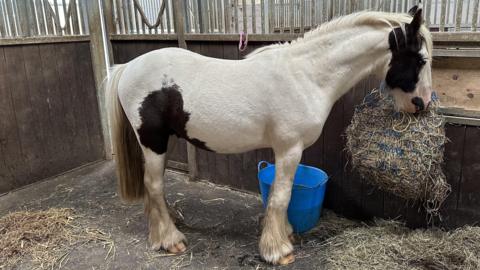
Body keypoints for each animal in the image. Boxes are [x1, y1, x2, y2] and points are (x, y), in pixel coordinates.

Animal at [107, 5, 434, 264]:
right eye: (420, 60)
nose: (422, 104)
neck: (307, 76)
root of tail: (128, 67)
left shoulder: (286, 150)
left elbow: (280, 193)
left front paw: (283, 234)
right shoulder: (290, 149)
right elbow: (281, 196)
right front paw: (278, 250)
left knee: (153, 189)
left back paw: (161, 229)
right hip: (153, 142)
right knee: (154, 185)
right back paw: (170, 239)